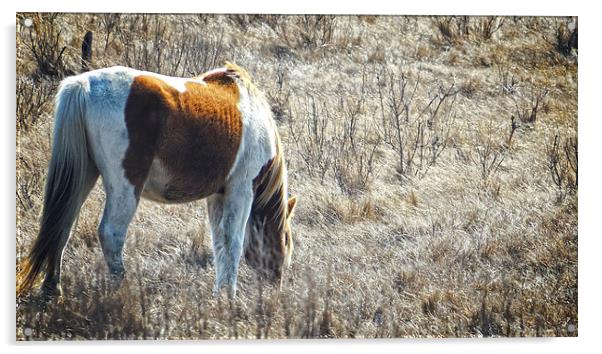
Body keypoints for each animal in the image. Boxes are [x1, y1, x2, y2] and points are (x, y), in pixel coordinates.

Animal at [18, 62, 298, 298]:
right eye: (286, 239)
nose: (276, 285)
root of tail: (83, 85)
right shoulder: (241, 189)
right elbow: (233, 243)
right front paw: (229, 298)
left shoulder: (218, 195)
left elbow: (220, 243)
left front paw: (220, 295)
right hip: (126, 185)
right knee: (111, 233)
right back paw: (123, 290)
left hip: (84, 174)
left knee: (62, 225)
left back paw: (52, 289)